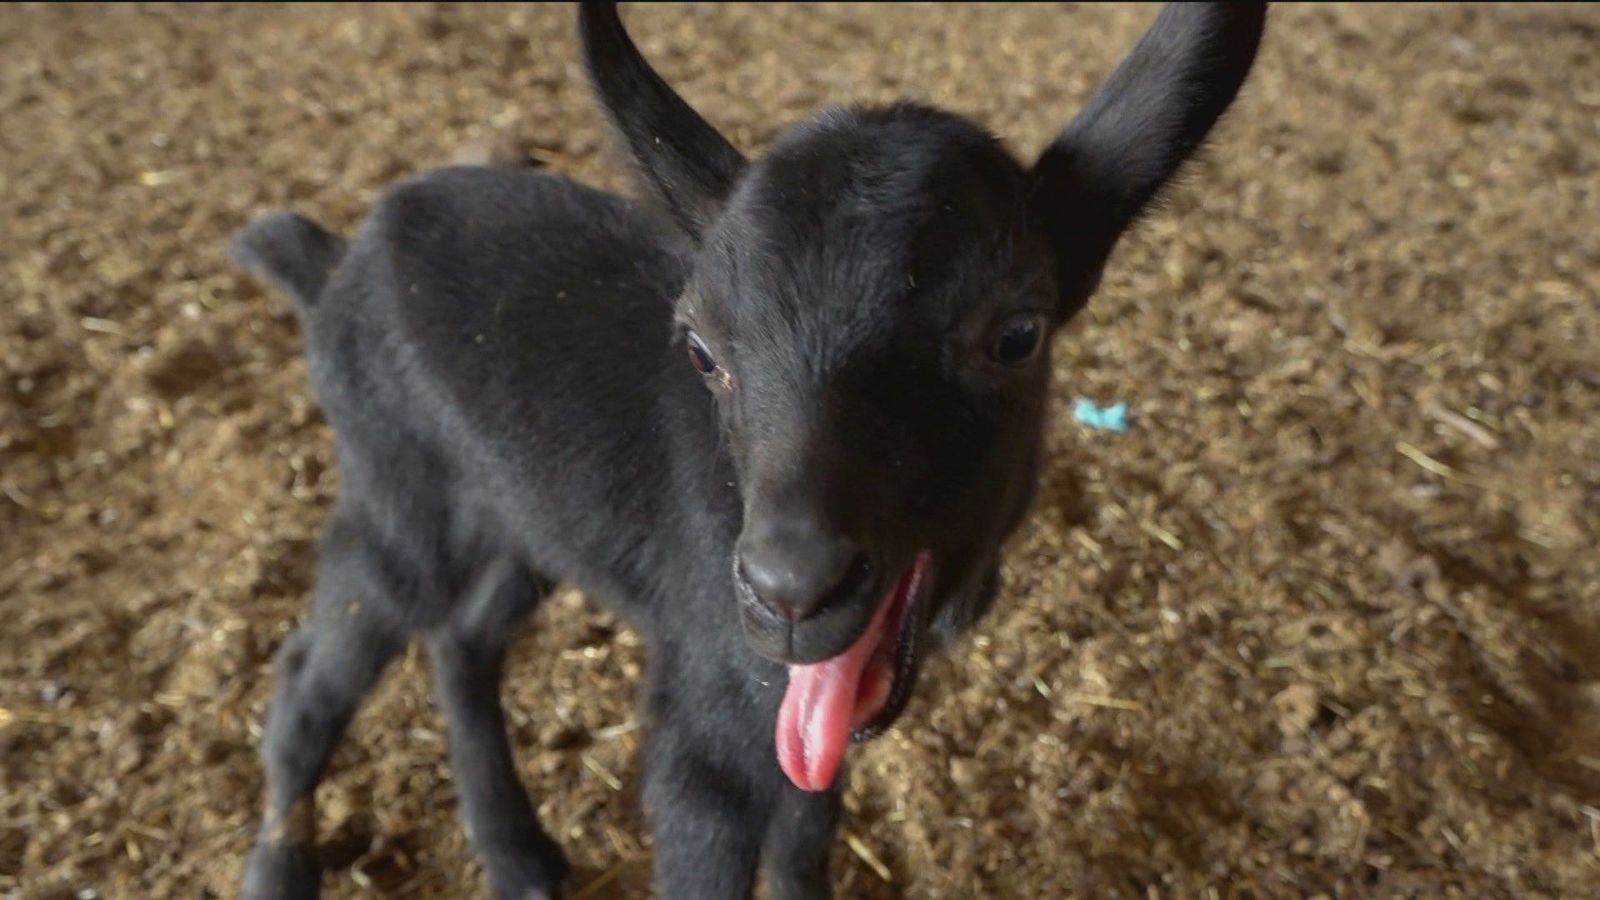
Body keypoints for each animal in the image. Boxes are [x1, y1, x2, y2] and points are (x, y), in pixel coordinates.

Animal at [229, 3, 1266, 898]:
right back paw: (283, 869)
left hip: (516, 513)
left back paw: (517, 853)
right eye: (700, 349)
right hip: (397, 484)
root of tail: (334, 262)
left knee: (465, 638)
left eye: (1017, 335)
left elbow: (806, 830)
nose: (791, 592)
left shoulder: (807, 712)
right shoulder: (708, 725)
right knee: (317, 668)